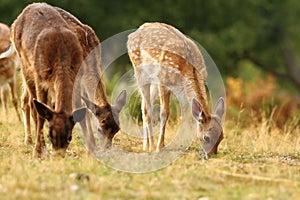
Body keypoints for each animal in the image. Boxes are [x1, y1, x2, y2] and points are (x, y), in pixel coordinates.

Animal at [0, 2, 125, 157]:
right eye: (100, 129)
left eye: (117, 129)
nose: (107, 148)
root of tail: (13, 23)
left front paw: (91, 148)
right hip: (25, 67)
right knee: (28, 101)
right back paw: (30, 142)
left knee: (31, 100)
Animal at [127, 22, 225, 156]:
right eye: (207, 137)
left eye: (222, 137)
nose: (211, 155)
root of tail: (134, 33)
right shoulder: (164, 81)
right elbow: (165, 112)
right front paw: (160, 146)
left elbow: (185, 116)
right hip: (140, 71)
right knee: (147, 109)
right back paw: (151, 146)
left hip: (152, 80)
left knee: (145, 106)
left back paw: (145, 145)